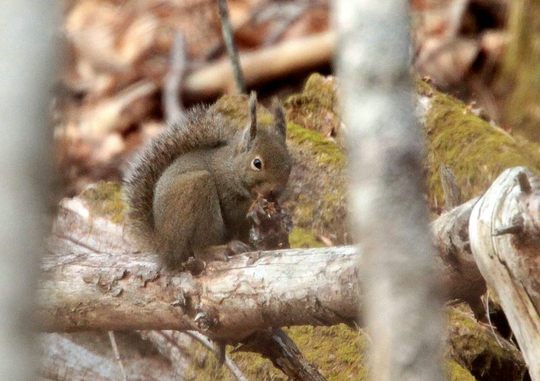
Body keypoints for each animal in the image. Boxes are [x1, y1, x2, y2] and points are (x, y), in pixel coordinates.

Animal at [123, 92, 292, 268]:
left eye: (289, 164)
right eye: (257, 163)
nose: (275, 191)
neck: (231, 168)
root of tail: (164, 247)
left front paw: (284, 215)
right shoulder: (226, 192)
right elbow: (234, 212)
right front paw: (256, 207)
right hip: (198, 189)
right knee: (199, 249)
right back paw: (219, 250)